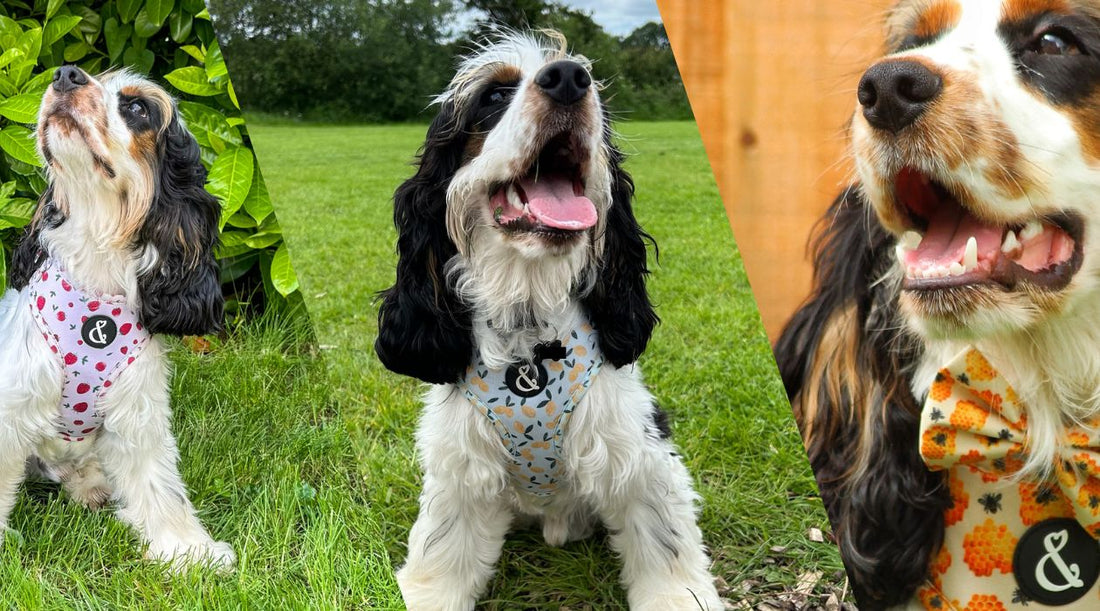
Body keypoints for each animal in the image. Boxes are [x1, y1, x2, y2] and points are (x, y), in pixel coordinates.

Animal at [0, 68, 232, 572]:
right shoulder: (12, 404)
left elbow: (160, 485)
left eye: (138, 108)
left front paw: (189, 550)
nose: (65, 73)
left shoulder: (137, 411)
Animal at [374, 32, 726, 607]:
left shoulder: (641, 456)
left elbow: (663, 541)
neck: (528, 324)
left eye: (595, 96)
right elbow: (444, 549)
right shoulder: (462, 471)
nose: (568, 79)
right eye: (494, 96)